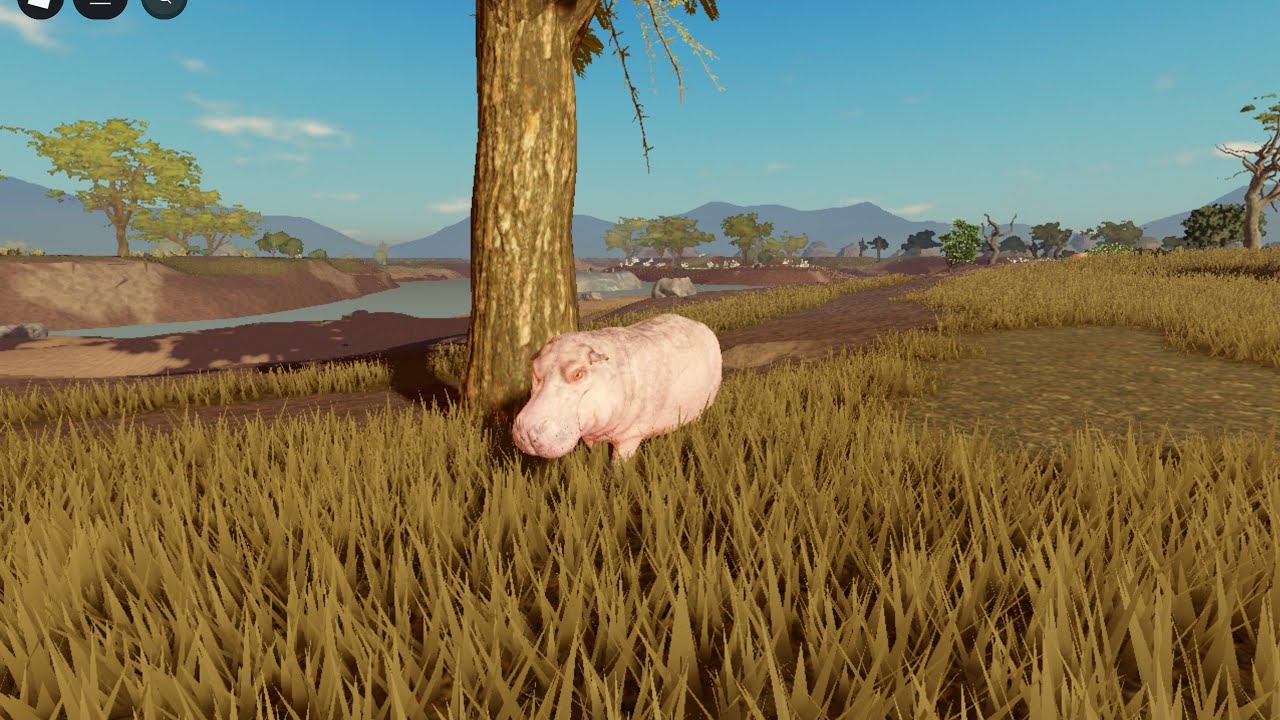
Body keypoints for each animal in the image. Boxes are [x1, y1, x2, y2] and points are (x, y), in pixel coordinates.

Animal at [512, 314, 722, 478]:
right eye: (535, 371)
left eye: (578, 373)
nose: (526, 428)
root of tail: (702, 326)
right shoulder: (592, 437)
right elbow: (595, 457)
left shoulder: (630, 437)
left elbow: (616, 467)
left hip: (703, 406)